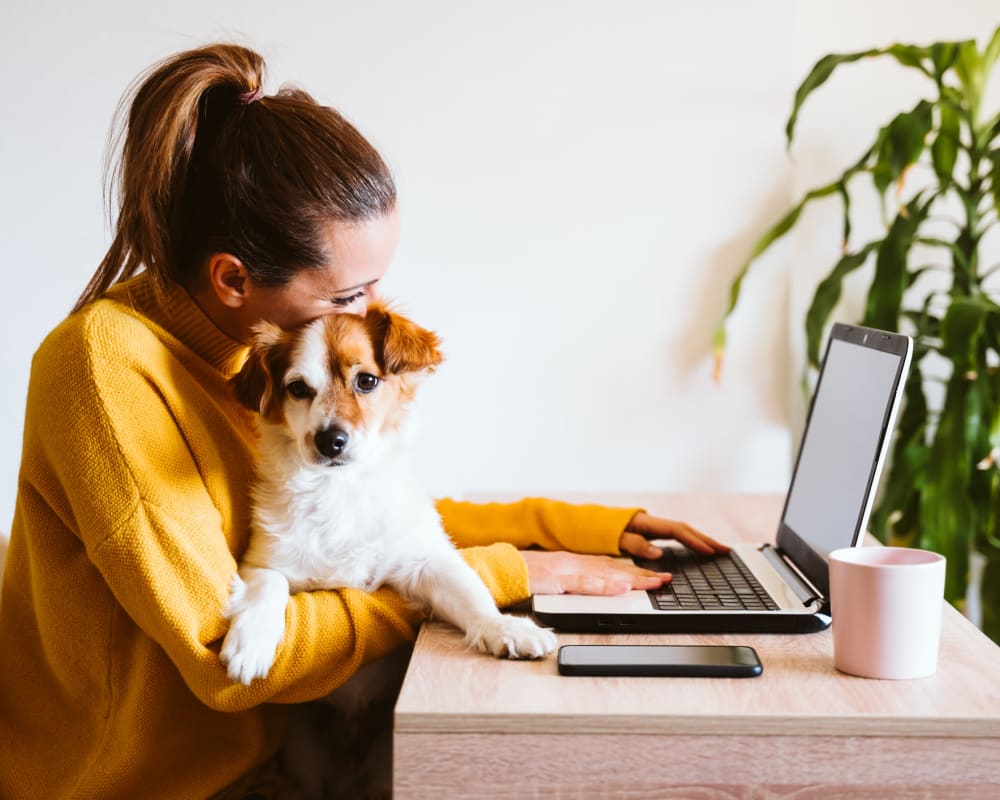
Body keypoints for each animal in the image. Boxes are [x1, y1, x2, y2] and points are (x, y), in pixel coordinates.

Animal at [220, 304, 560, 684]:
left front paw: (505, 628)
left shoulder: (425, 560)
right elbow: (267, 586)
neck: (341, 489)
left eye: (366, 381)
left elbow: (471, 593)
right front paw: (251, 642)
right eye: (297, 388)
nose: (330, 441)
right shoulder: (262, 561)